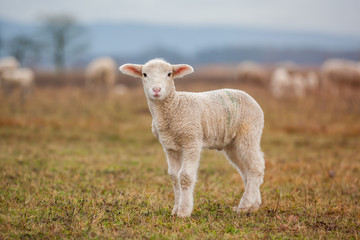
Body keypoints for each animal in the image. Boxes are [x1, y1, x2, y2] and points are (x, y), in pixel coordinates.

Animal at [120, 58, 264, 218]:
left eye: (169, 74)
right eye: (144, 74)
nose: (156, 90)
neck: (175, 106)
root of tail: (250, 98)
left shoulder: (192, 140)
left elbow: (185, 176)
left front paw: (184, 211)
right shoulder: (169, 147)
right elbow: (174, 177)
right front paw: (175, 209)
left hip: (249, 133)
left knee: (256, 167)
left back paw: (245, 205)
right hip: (232, 144)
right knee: (246, 171)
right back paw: (253, 205)